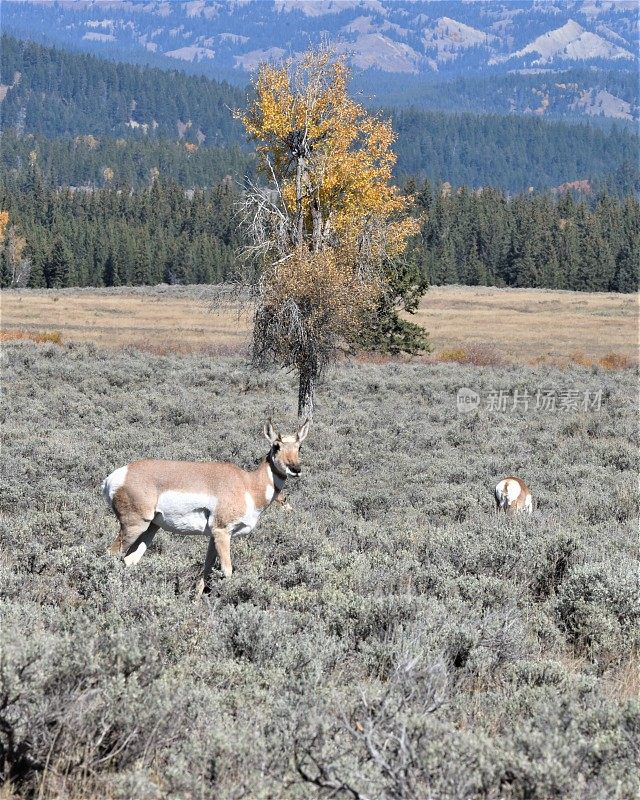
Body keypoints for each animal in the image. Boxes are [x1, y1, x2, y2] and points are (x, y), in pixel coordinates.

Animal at [102, 418, 310, 592]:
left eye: (299, 447)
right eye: (276, 446)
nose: (295, 469)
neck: (248, 484)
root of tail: (116, 476)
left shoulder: (214, 536)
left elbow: (206, 570)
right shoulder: (222, 532)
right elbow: (227, 571)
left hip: (151, 528)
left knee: (129, 559)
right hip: (134, 526)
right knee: (110, 554)